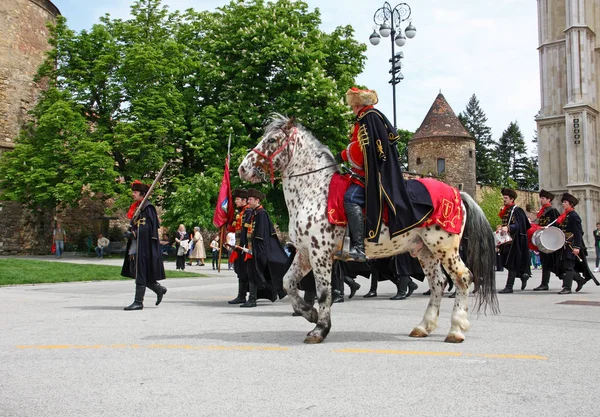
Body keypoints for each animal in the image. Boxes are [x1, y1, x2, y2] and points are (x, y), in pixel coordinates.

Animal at [237, 113, 500, 342]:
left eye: (272, 140)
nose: (242, 168)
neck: (313, 191)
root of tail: (457, 192)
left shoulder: (320, 253)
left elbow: (324, 291)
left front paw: (320, 329)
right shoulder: (303, 252)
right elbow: (287, 283)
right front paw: (309, 313)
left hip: (445, 247)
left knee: (462, 278)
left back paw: (456, 329)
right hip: (424, 250)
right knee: (438, 283)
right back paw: (423, 327)